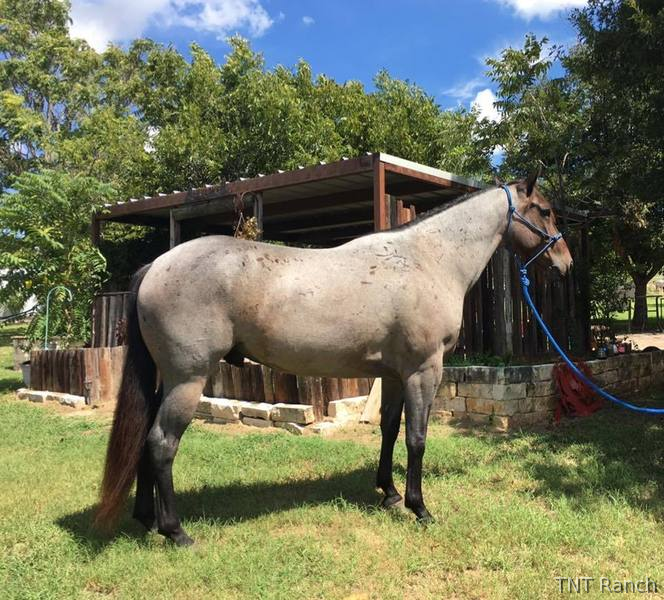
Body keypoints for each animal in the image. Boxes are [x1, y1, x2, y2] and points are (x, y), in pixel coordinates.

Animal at [95, 173, 573, 546]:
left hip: (168, 379)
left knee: (145, 437)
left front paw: (389, 493)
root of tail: (156, 265)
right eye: (546, 211)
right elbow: (416, 438)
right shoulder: (424, 371)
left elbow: (388, 429)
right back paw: (175, 531)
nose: (565, 262)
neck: (427, 260)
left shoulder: (394, 374)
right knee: (162, 442)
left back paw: (146, 519)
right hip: (188, 380)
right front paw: (419, 507)